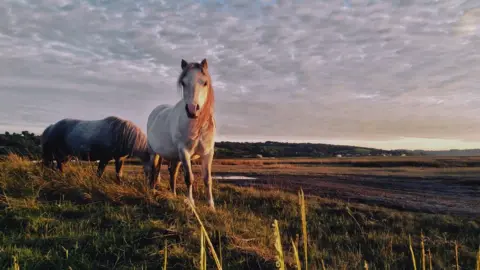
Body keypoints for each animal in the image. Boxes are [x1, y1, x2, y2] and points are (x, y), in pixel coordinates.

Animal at [145, 58, 215, 210]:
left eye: (205, 82)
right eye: (183, 83)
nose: (192, 109)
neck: (197, 126)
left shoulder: (208, 153)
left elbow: (207, 179)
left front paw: (211, 206)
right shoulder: (184, 152)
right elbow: (189, 178)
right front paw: (191, 203)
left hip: (175, 157)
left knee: (172, 173)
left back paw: (173, 194)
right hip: (155, 152)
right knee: (154, 169)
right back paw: (151, 190)